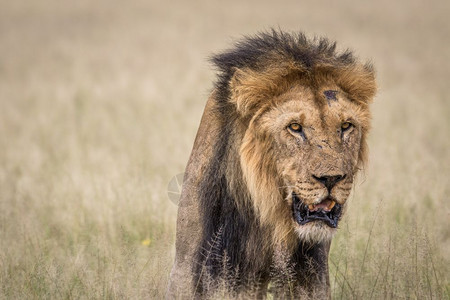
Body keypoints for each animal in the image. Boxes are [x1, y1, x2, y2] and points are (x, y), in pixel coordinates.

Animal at [168, 29, 376, 298]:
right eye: (295, 127)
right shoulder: (198, 270)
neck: (272, 219)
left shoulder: (312, 276)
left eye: (346, 126)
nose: (331, 179)